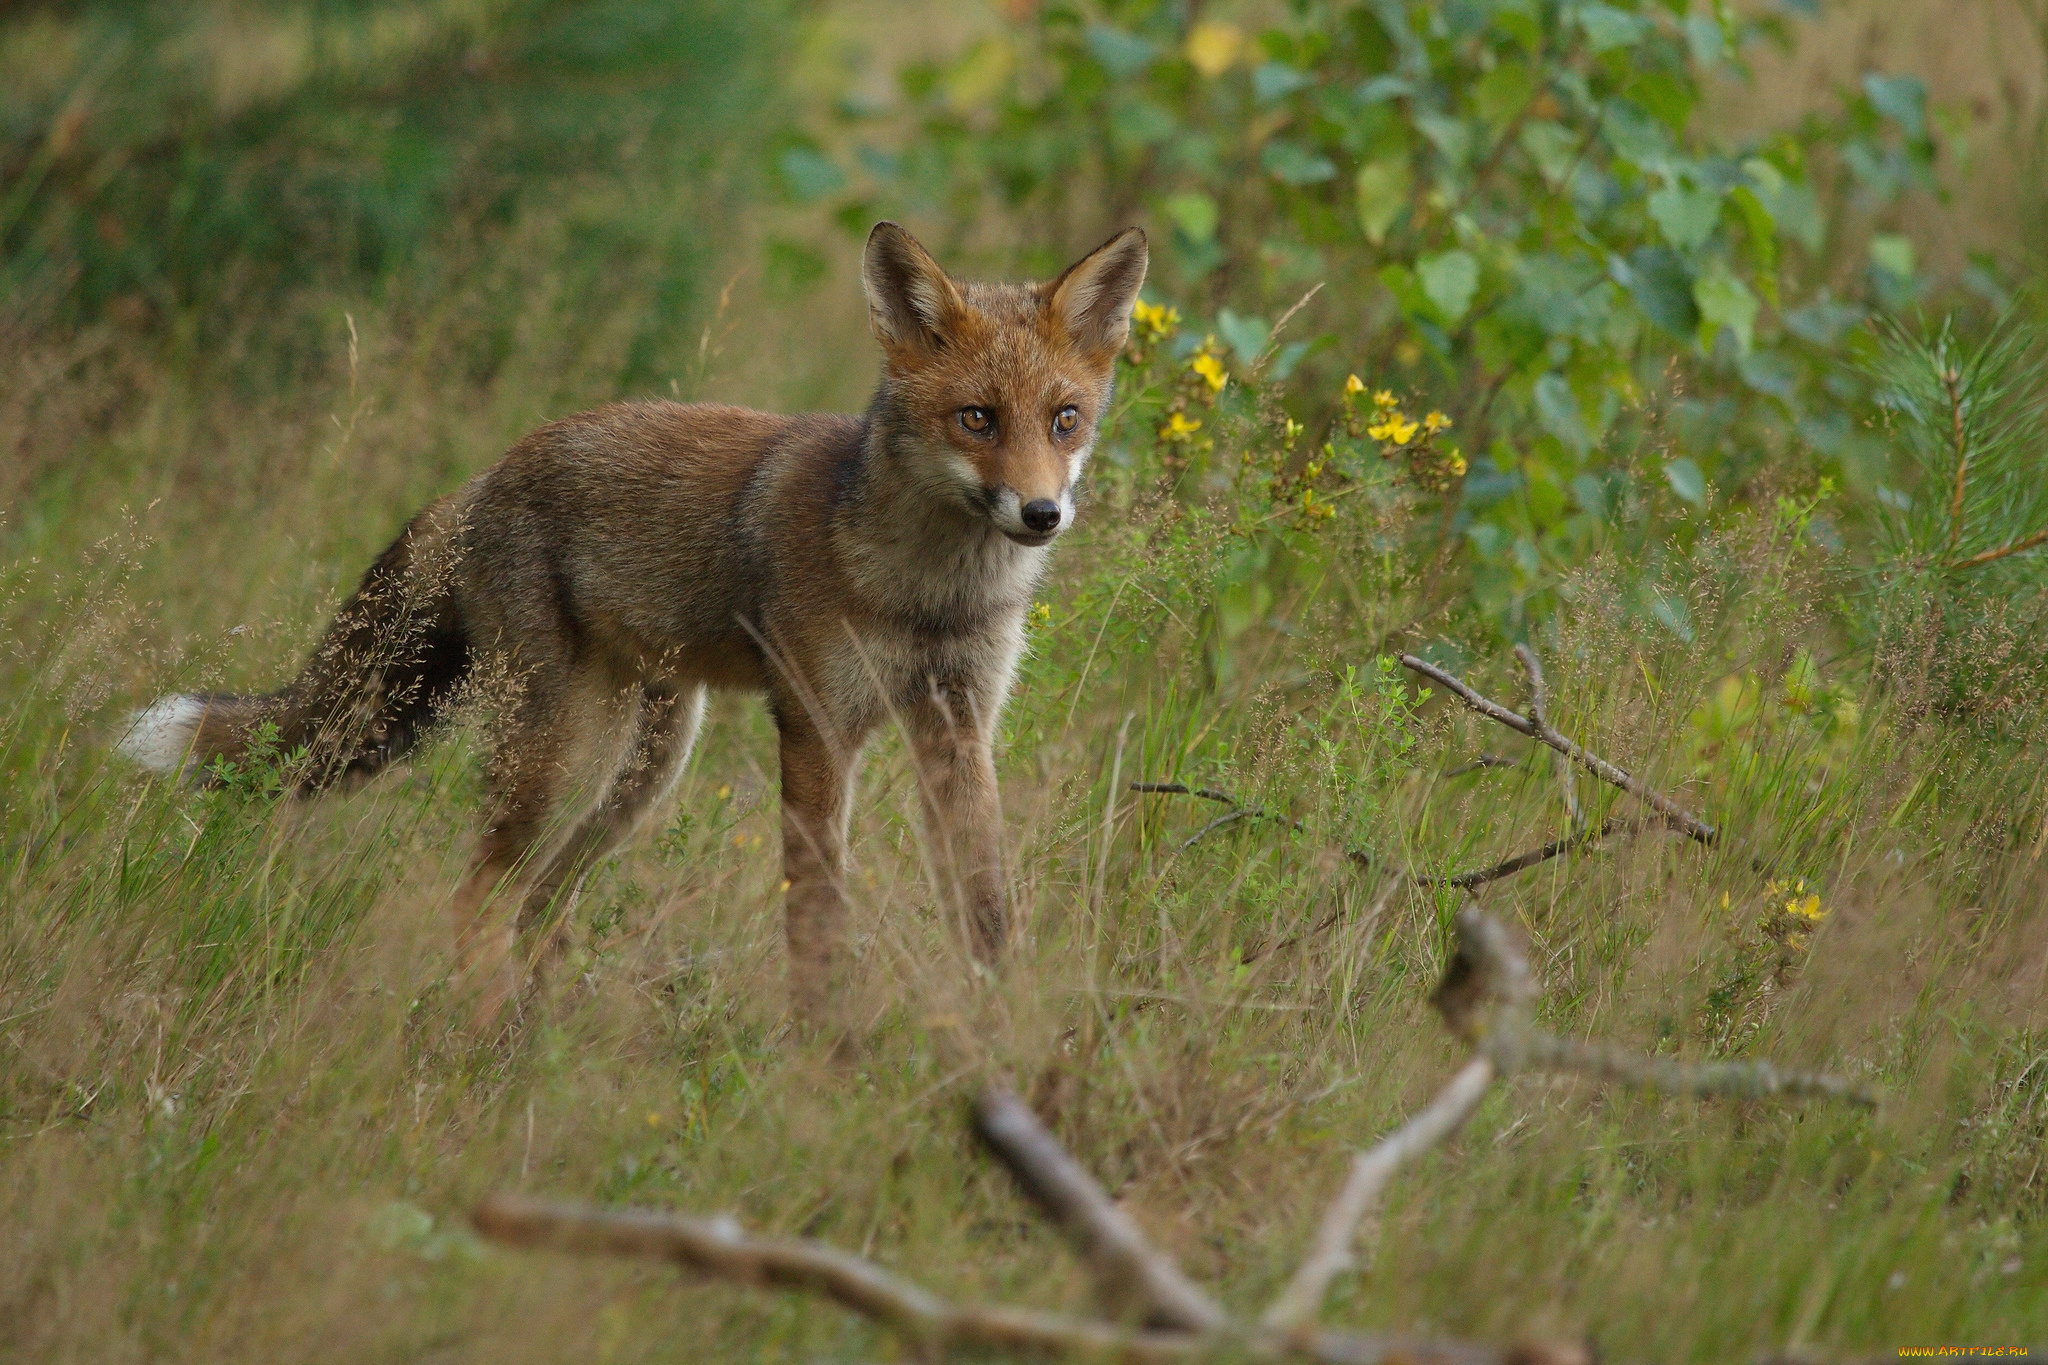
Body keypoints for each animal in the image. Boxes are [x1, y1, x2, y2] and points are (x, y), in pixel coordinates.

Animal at [119, 224, 1155, 1031]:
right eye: (976, 418)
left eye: (1064, 419)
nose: (1041, 514)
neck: (930, 593)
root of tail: (488, 475)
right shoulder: (816, 723)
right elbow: (817, 917)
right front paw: (826, 1062)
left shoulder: (959, 723)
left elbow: (987, 909)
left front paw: (1008, 1039)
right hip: (558, 754)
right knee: (479, 895)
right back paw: (487, 1041)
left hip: (648, 763)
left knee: (537, 904)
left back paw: (536, 1033)